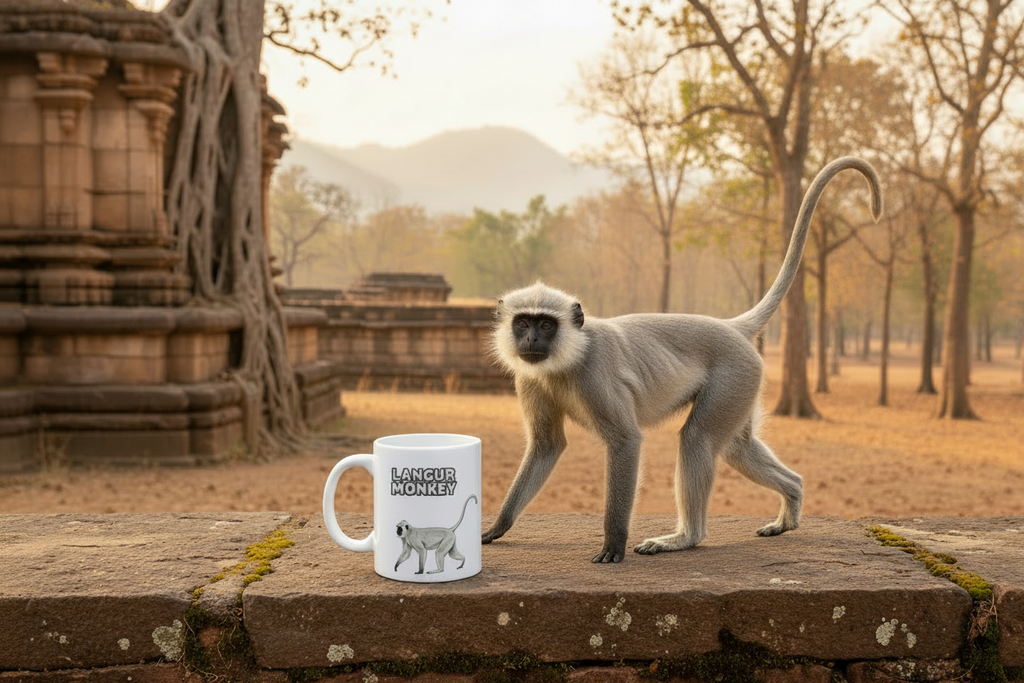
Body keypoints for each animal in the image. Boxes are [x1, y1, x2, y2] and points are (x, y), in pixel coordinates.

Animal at [482, 156, 882, 564]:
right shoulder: (530, 378)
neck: (567, 358)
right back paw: (791, 498)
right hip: (744, 383)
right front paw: (498, 526)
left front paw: (613, 543)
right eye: (523, 323)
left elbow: (626, 440)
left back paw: (686, 536)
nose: (531, 339)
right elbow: (547, 444)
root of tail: (732, 327)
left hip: (734, 376)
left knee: (697, 439)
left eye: (546, 324)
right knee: (736, 447)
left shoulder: (593, 375)